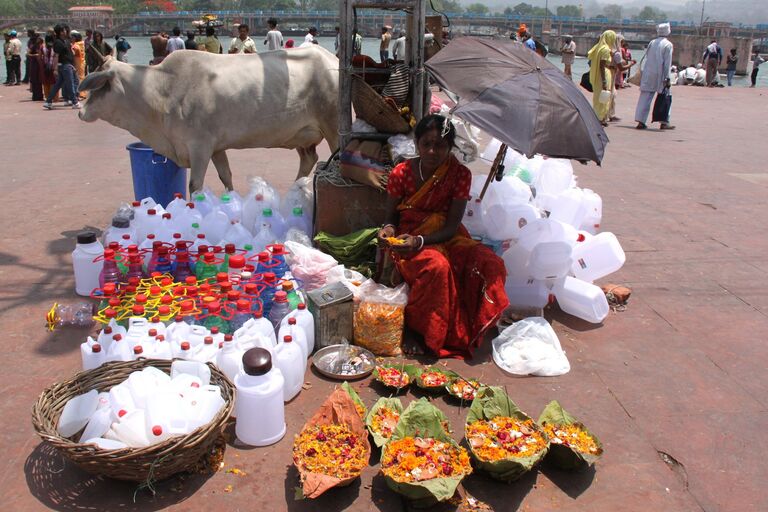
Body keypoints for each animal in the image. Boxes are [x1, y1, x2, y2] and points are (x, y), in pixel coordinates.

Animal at [78, 47, 340, 194]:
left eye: (99, 85)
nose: (80, 111)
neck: (163, 90)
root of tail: (332, 59)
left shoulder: (200, 147)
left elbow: (195, 185)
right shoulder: (216, 147)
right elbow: (226, 176)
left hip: (333, 127)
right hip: (303, 136)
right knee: (309, 158)